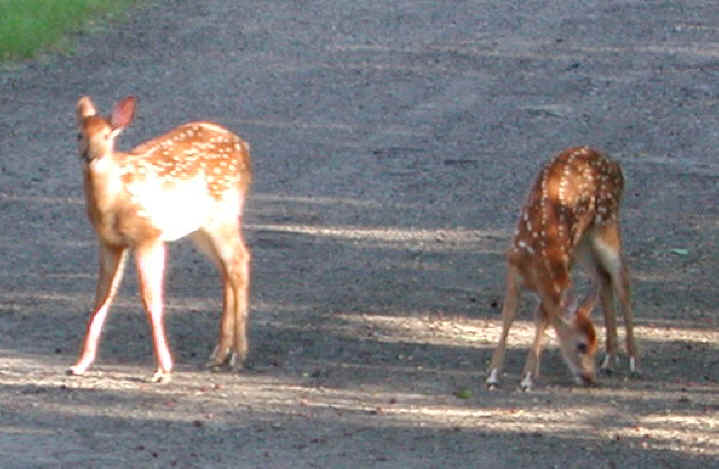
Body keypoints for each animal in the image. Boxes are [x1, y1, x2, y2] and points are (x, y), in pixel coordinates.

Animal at [69, 95, 251, 383]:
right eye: (79, 134)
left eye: (107, 135)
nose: (90, 156)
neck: (114, 202)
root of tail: (244, 148)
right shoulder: (109, 242)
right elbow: (102, 297)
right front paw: (80, 364)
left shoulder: (149, 236)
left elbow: (151, 299)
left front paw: (162, 369)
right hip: (200, 227)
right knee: (227, 268)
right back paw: (220, 354)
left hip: (224, 213)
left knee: (239, 260)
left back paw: (238, 356)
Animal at [485, 146, 638, 391]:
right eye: (582, 345)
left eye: (593, 344)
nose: (590, 378)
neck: (539, 260)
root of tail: (615, 164)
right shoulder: (514, 269)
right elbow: (508, 317)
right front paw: (493, 374)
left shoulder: (562, 268)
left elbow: (542, 318)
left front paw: (528, 377)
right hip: (583, 241)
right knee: (603, 277)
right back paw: (610, 359)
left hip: (606, 223)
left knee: (621, 277)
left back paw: (633, 361)